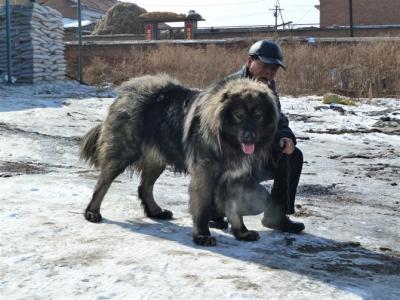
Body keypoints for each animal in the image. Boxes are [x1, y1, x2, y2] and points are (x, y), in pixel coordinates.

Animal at [80, 73, 280, 246]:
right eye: (239, 115)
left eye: (258, 116)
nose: (249, 137)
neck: (225, 140)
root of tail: (126, 90)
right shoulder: (204, 174)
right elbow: (202, 208)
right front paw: (202, 235)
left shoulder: (234, 178)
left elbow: (234, 207)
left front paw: (241, 232)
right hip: (123, 153)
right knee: (102, 184)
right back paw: (92, 212)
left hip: (157, 160)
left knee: (145, 187)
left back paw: (156, 211)